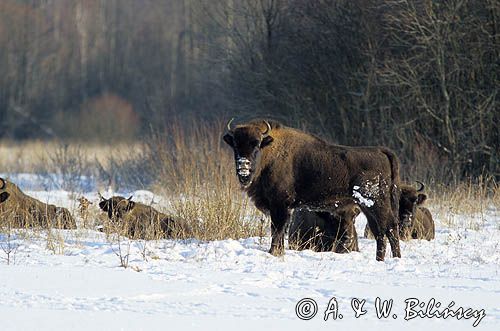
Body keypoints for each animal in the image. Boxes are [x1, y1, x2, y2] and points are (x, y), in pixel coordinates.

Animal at [224, 119, 402, 262]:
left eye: (256, 144)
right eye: (236, 145)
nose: (243, 165)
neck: (270, 149)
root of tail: (381, 151)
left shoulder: (280, 205)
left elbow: (277, 230)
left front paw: (273, 252)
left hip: (375, 204)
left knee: (388, 228)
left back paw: (390, 259)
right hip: (369, 207)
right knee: (382, 230)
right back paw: (387, 259)